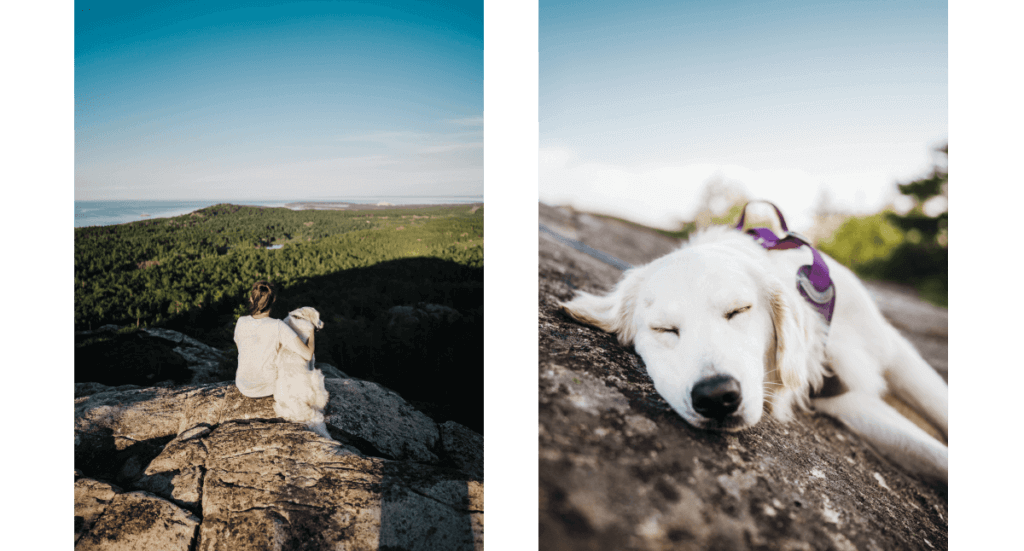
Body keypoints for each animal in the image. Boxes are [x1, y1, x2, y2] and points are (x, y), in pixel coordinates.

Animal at [272, 305, 331, 438]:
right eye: (319, 317)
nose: (323, 323)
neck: (299, 317)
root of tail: (298, 404)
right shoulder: (311, 355)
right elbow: (312, 361)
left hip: (280, 407)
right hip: (317, 376)